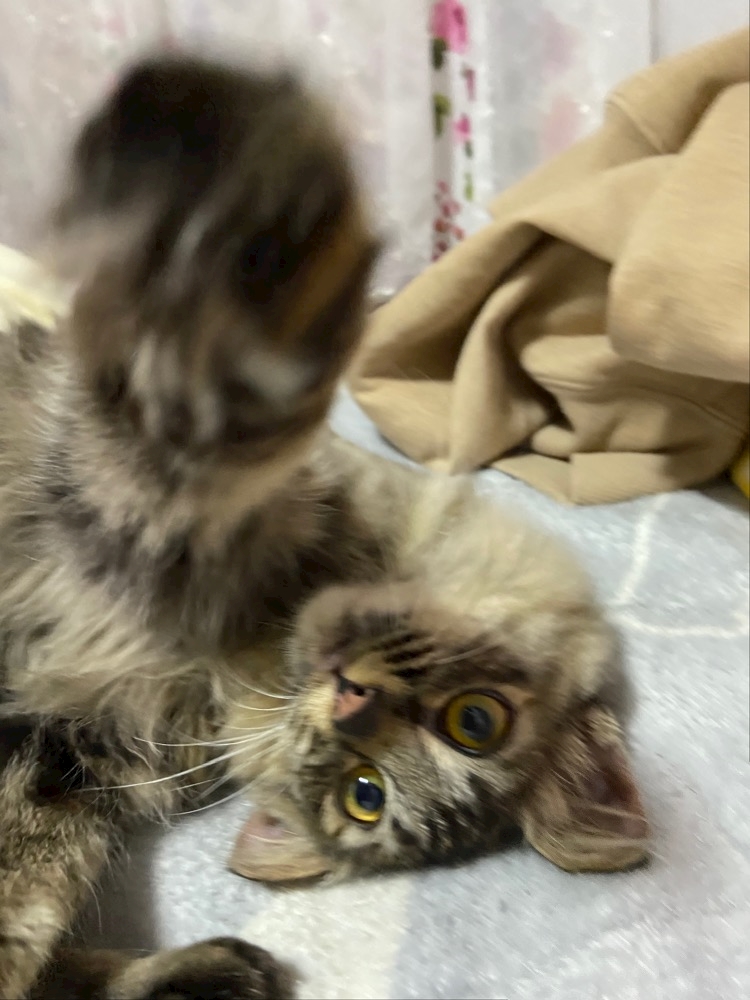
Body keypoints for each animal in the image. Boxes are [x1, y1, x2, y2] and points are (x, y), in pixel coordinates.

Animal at [0, 53, 648, 1000]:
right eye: (476, 720)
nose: (350, 700)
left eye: (363, 795)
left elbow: (205, 420)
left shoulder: (74, 738)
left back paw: (219, 974)